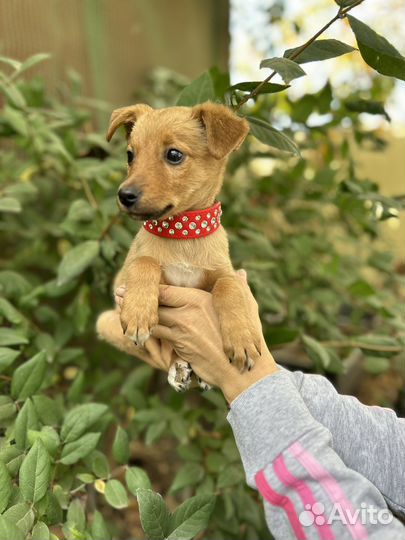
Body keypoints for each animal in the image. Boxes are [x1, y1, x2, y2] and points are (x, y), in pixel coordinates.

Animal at [96, 101, 260, 390]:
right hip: (106, 321)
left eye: (174, 155)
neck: (183, 235)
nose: (124, 196)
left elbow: (227, 286)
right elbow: (145, 261)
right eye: (130, 155)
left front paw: (242, 337)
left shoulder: (227, 274)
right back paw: (179, 368)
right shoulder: (122, 282)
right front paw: (139, 313)